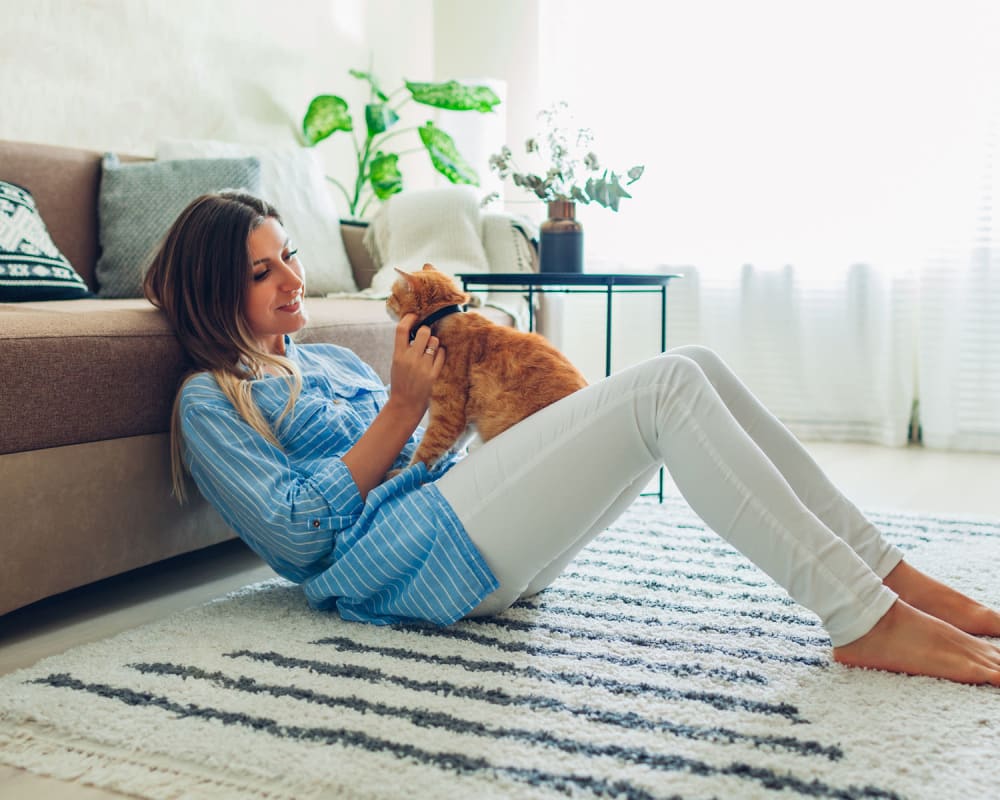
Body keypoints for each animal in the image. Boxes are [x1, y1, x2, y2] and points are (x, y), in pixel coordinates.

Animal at [382, 264, 584, 468]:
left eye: (392, 294)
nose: (385, 302)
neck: (442, 319)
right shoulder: (468, 413)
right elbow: (464, 435)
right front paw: (454, 453)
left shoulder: (448, 415)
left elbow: (423, 455)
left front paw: (402, 472)